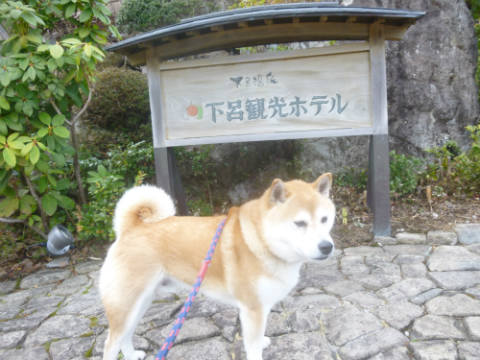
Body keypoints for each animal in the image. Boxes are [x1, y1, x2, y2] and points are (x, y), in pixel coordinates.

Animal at [99, 173, 336, 358]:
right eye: (299, 223)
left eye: (325, 219)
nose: (327, 247)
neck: (260, 242)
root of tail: (130, 228)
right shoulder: (252, 308)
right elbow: (253, 347)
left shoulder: (262, 306)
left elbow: (258, 337)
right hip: (126, 304)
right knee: (111, 343)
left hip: (141, 303)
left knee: (126, 335)